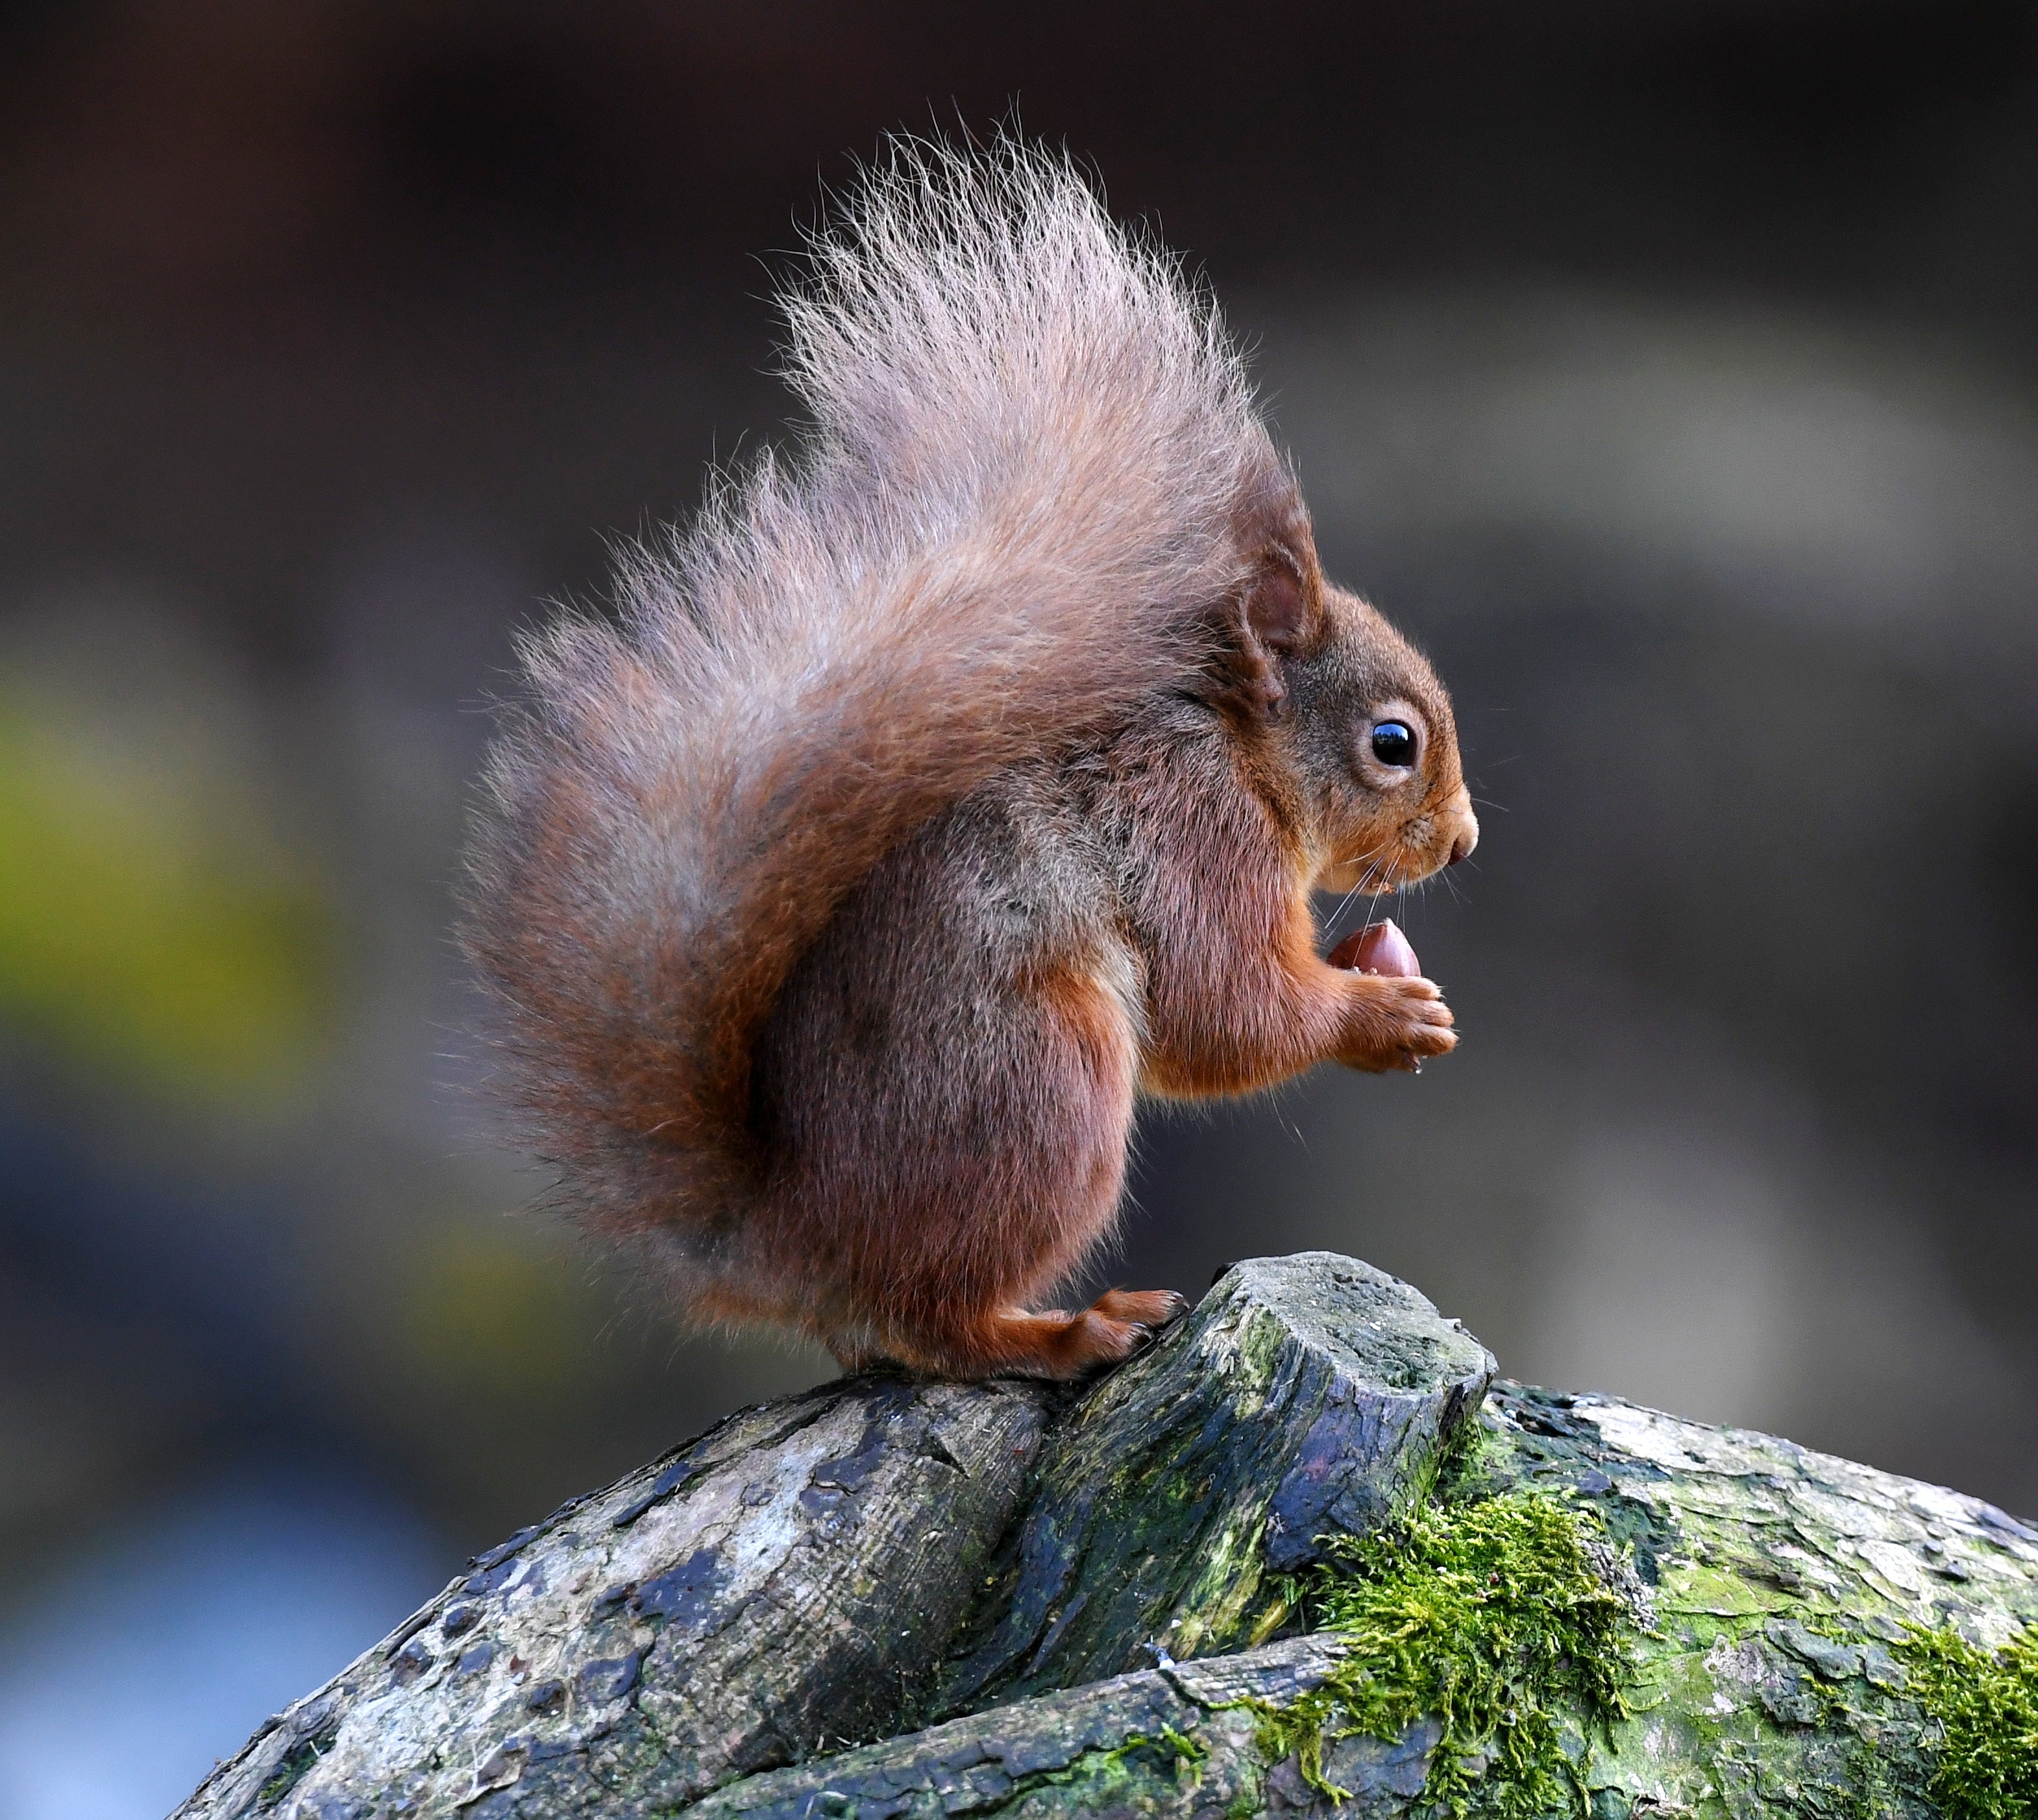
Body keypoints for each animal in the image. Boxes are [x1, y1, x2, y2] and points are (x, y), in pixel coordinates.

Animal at [460, 141, 1477, 1382]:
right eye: (1393, 744)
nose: (1465, 841)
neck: (1239, 757)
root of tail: (790, 1242)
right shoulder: (1194, 835)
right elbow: (1223, 1012)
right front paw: (1384, 1018)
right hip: (1041, 1086)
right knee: (939, 1319)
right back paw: (1074, 1326)